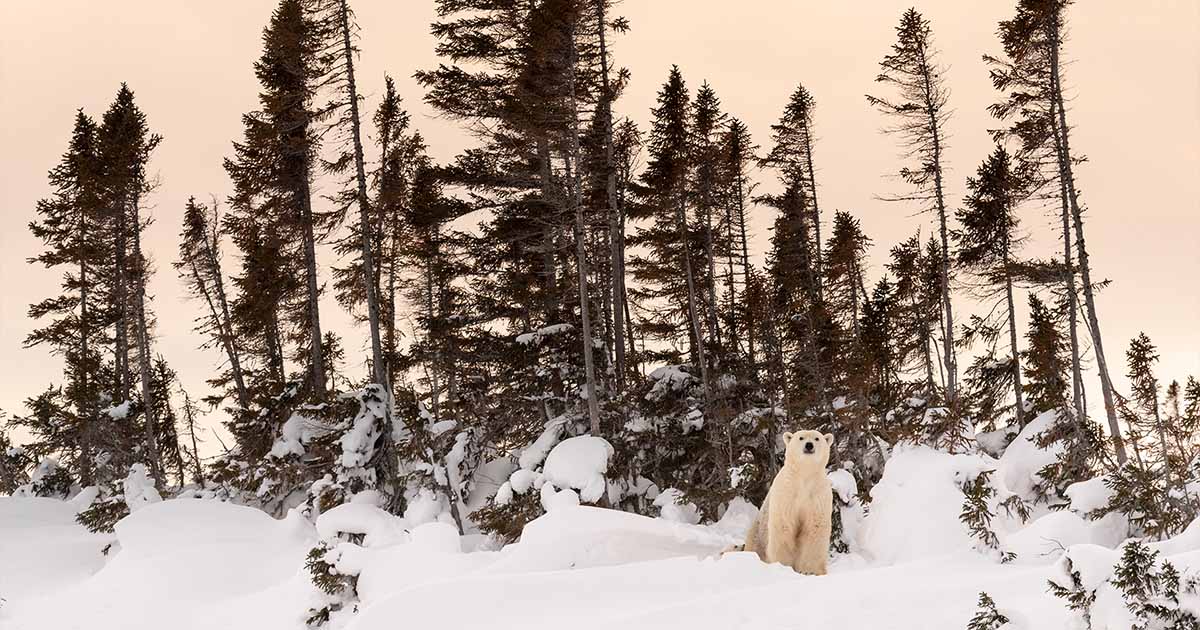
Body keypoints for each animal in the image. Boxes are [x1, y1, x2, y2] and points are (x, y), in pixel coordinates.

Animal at [742, 430, 834, 575]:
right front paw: (782, 565)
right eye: (801, 438)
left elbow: (814, 527)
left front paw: (811, 571)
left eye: (817, 438)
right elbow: (783, 526)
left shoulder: (818, 495)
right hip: (757, 533)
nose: (809, 445)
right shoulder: (787, 493)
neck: (804, 476)